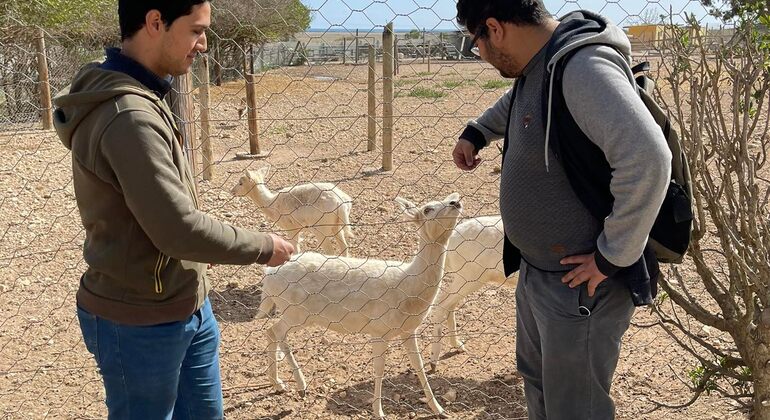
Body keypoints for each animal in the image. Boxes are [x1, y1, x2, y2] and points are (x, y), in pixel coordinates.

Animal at [258, 192, 462, 418]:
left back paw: (279, 384)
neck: (409, 289)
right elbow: (379, 369)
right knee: (274, 332)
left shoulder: (409, 330)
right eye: (427, 209)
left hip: (296, 314)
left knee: (273, 333)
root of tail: (268, 276)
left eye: (449, 199)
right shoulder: (379, 331)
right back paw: (297, 385)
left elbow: (418, 365)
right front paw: (379, 412)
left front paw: (439, 409)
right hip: (296, 313)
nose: (456, 202)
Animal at [426, 217, 516, 370]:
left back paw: (458, 345)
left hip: (463, 278)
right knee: (442, 304)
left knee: (448, 303)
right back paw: (433, 361)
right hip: (470, 278)